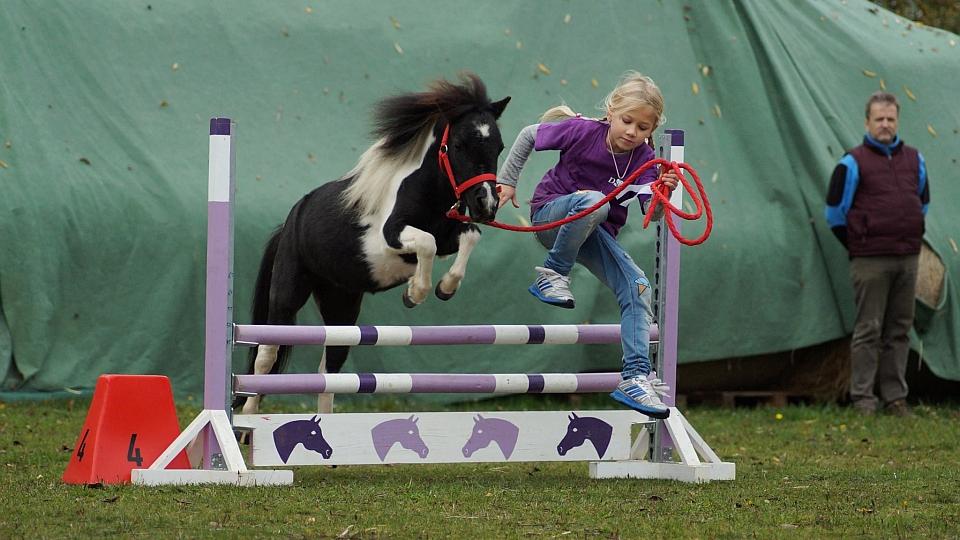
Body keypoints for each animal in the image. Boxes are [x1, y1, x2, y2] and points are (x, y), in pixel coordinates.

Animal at [234, 73, 510, 414]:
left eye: (499, 146)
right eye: (459, 145)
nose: (487, 204)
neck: (422, 190)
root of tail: (289, 224)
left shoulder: (450, 236)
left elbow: (468, 237)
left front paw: (444, 288)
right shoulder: (391, 237)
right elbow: (427, 244)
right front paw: (415, 293)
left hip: (342, 308)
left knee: (329, 372)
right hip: (286, 299)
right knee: (266, 357)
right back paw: (248, 419)